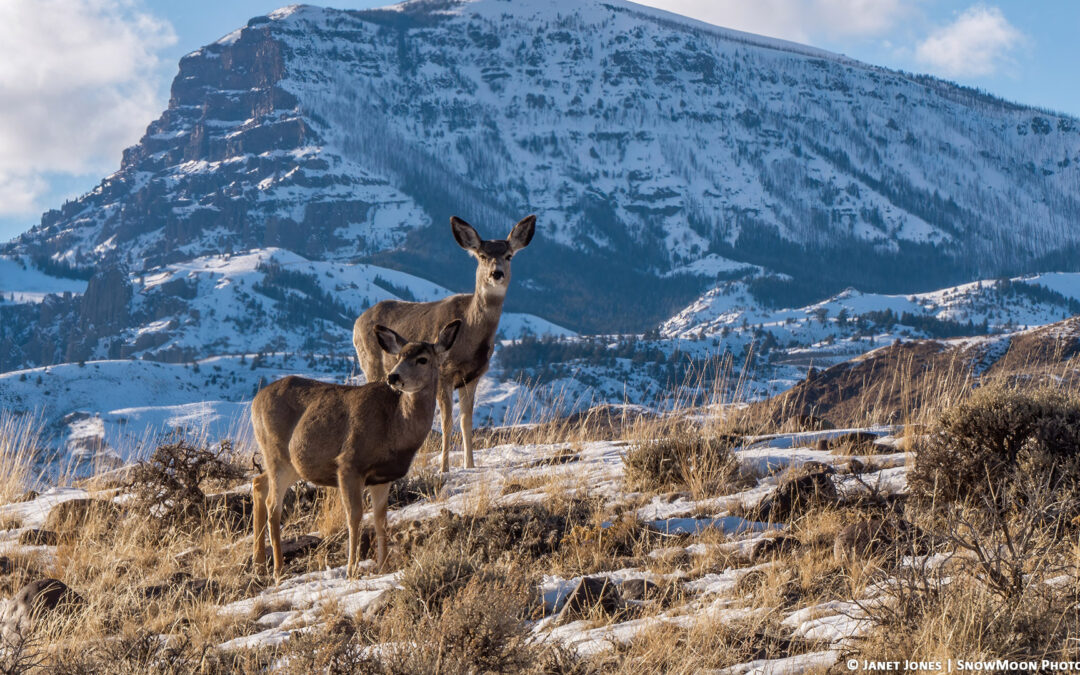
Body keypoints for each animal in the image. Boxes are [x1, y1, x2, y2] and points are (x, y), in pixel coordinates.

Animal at [251, 319, 462, 579]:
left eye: (422, 359)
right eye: (399, 356)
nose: (393, 376)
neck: (394, 427)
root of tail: (255, 401)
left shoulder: (383, 477)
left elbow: (381, 519)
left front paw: (384, 566)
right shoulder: (349, 464)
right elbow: (355, 516)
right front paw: (352, 568)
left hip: (292, 464)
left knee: (258, 483)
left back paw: (259, 562)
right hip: (276, 454)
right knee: (273, 505)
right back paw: (278, 568)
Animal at [353, 215, 536, 472]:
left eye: (509, 255)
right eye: (482, 255)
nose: (496, 273)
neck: (470, 332)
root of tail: (358, 321)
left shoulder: (473, 376)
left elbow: (466, 422)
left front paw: (470, 464)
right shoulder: (444, 373)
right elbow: (447, 422)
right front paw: (444, 467)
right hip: (371, 363)